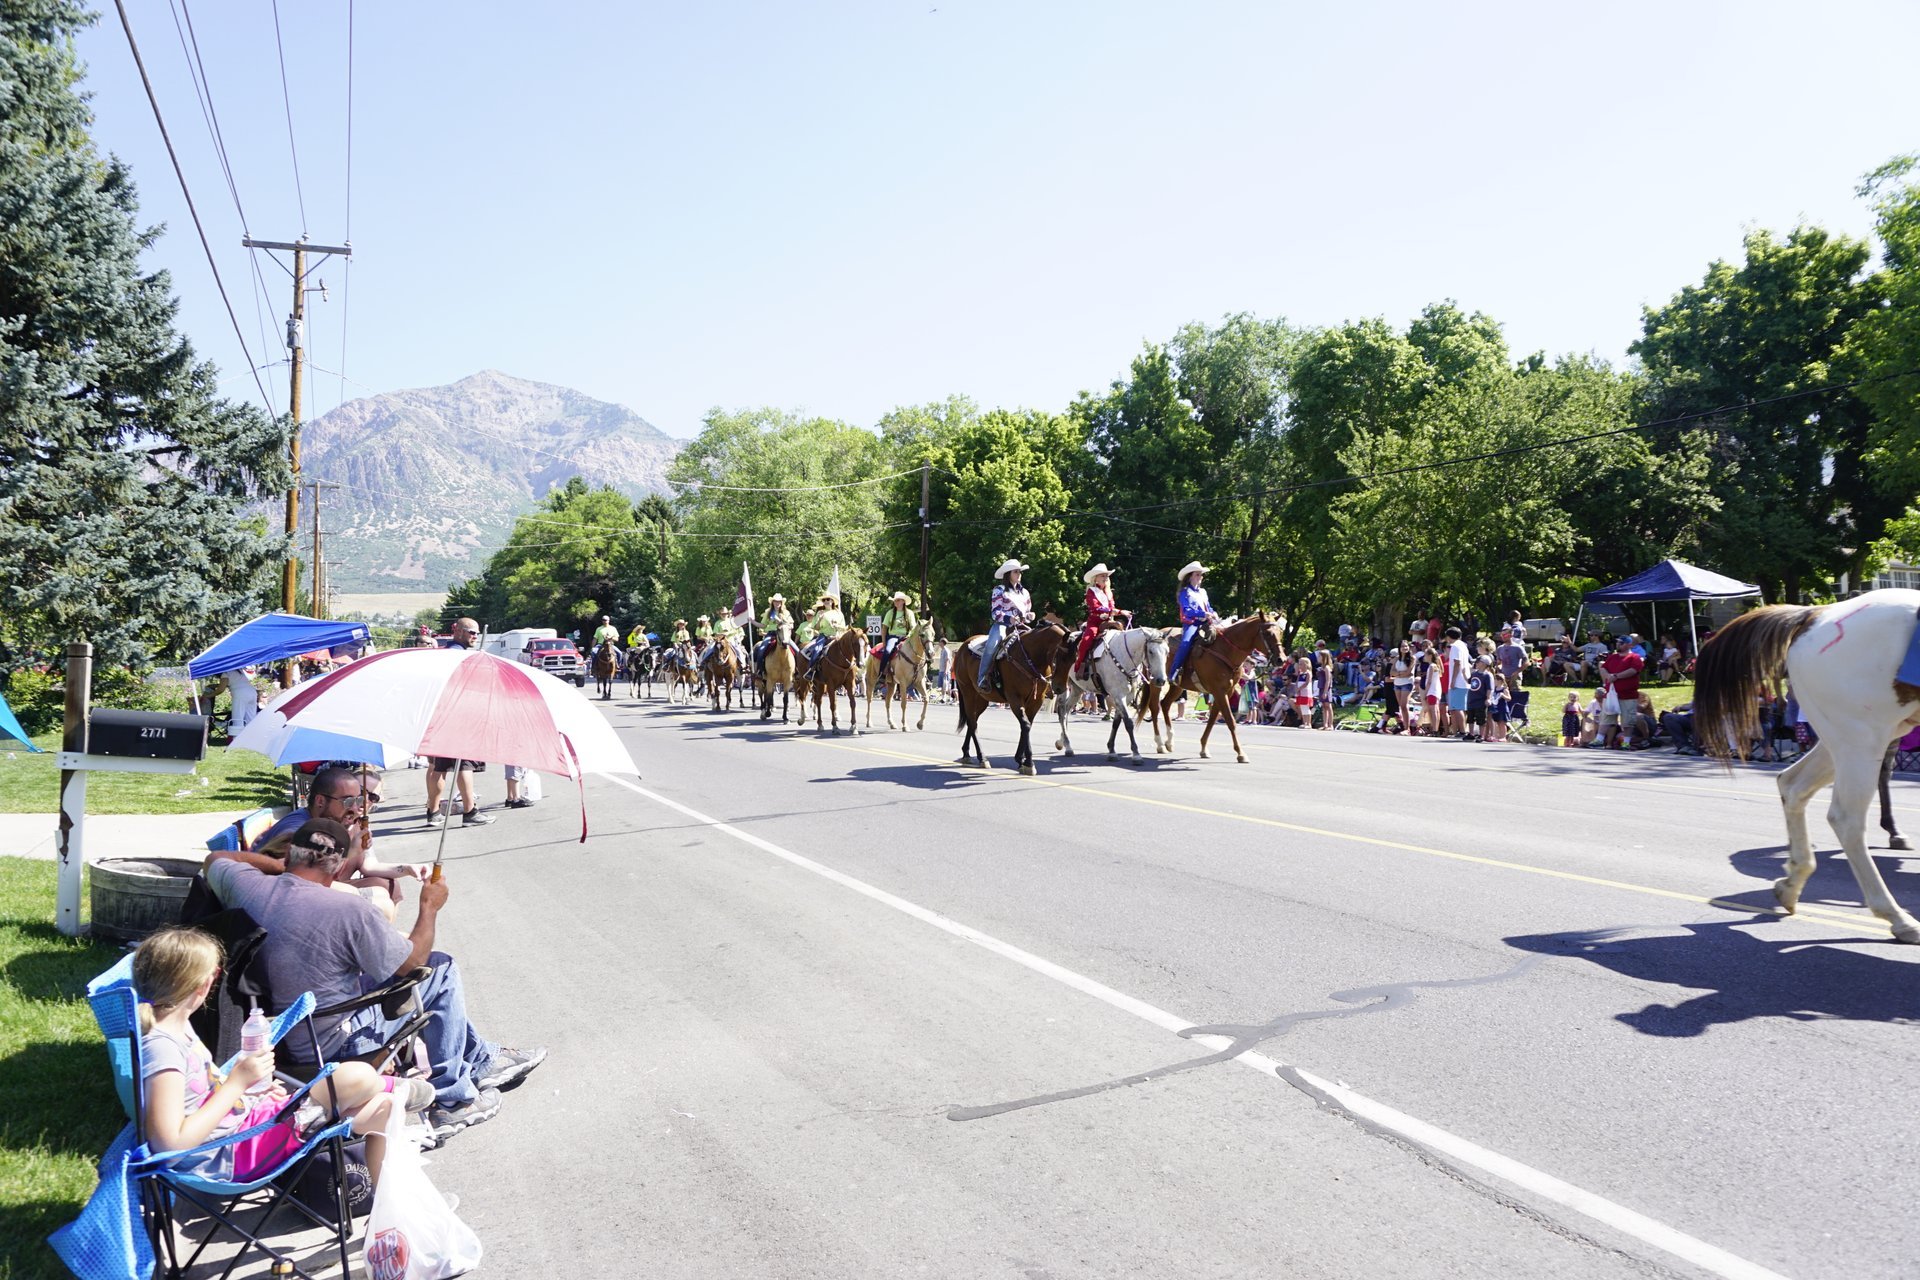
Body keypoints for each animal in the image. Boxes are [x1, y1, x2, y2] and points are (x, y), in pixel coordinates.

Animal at [952, 617, 1075, 771]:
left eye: (1074, 659)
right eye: (1061, 657)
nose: (1060, 688)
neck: (1030, 658)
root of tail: (963, 647)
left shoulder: (1036, 701)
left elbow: (1027, 725)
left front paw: (1020, 759)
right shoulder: (1015, 698)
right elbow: (1026, 725)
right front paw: (1028, 763)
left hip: (981, 699)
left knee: (971, 720)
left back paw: (966, 754)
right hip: (968, 692)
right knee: (972, 723)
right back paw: (982, 758)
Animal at [1052, 625, 1167, 767]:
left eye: (1167, 652)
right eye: (1151, 651)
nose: (1161, 680)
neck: (1124, 656)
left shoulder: (1126, 697)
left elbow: (1116, 722)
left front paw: (1111, 751)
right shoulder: (1118, 695)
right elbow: (1128, 723)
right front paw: (1136, 755)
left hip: (1077, 689)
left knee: (1066, 710)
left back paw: (1063, 742)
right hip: (1063, 686)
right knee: (1062, 711)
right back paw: (1067, 746)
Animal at [1128, 610, 1282, 759]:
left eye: (1280, 632)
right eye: (1268, 633)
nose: (1281, 659)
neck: (1224, 650)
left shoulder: (1226, 691)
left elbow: (1213, 719)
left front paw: (1203, 749)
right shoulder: (1219, 691)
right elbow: (1230, 720)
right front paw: (1240, 753)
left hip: (1177, 686)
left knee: (1165, 704)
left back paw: (1169, 742)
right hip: (1156, 683)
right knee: (1155, 707)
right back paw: (1160, 744)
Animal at [1697, 587, 1920, 940]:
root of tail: (1815, 614)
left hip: (1849, 738)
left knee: (1792, 785)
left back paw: (1791, 885)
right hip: (1860, 738)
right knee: (1846, 819)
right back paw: (1896, 916)